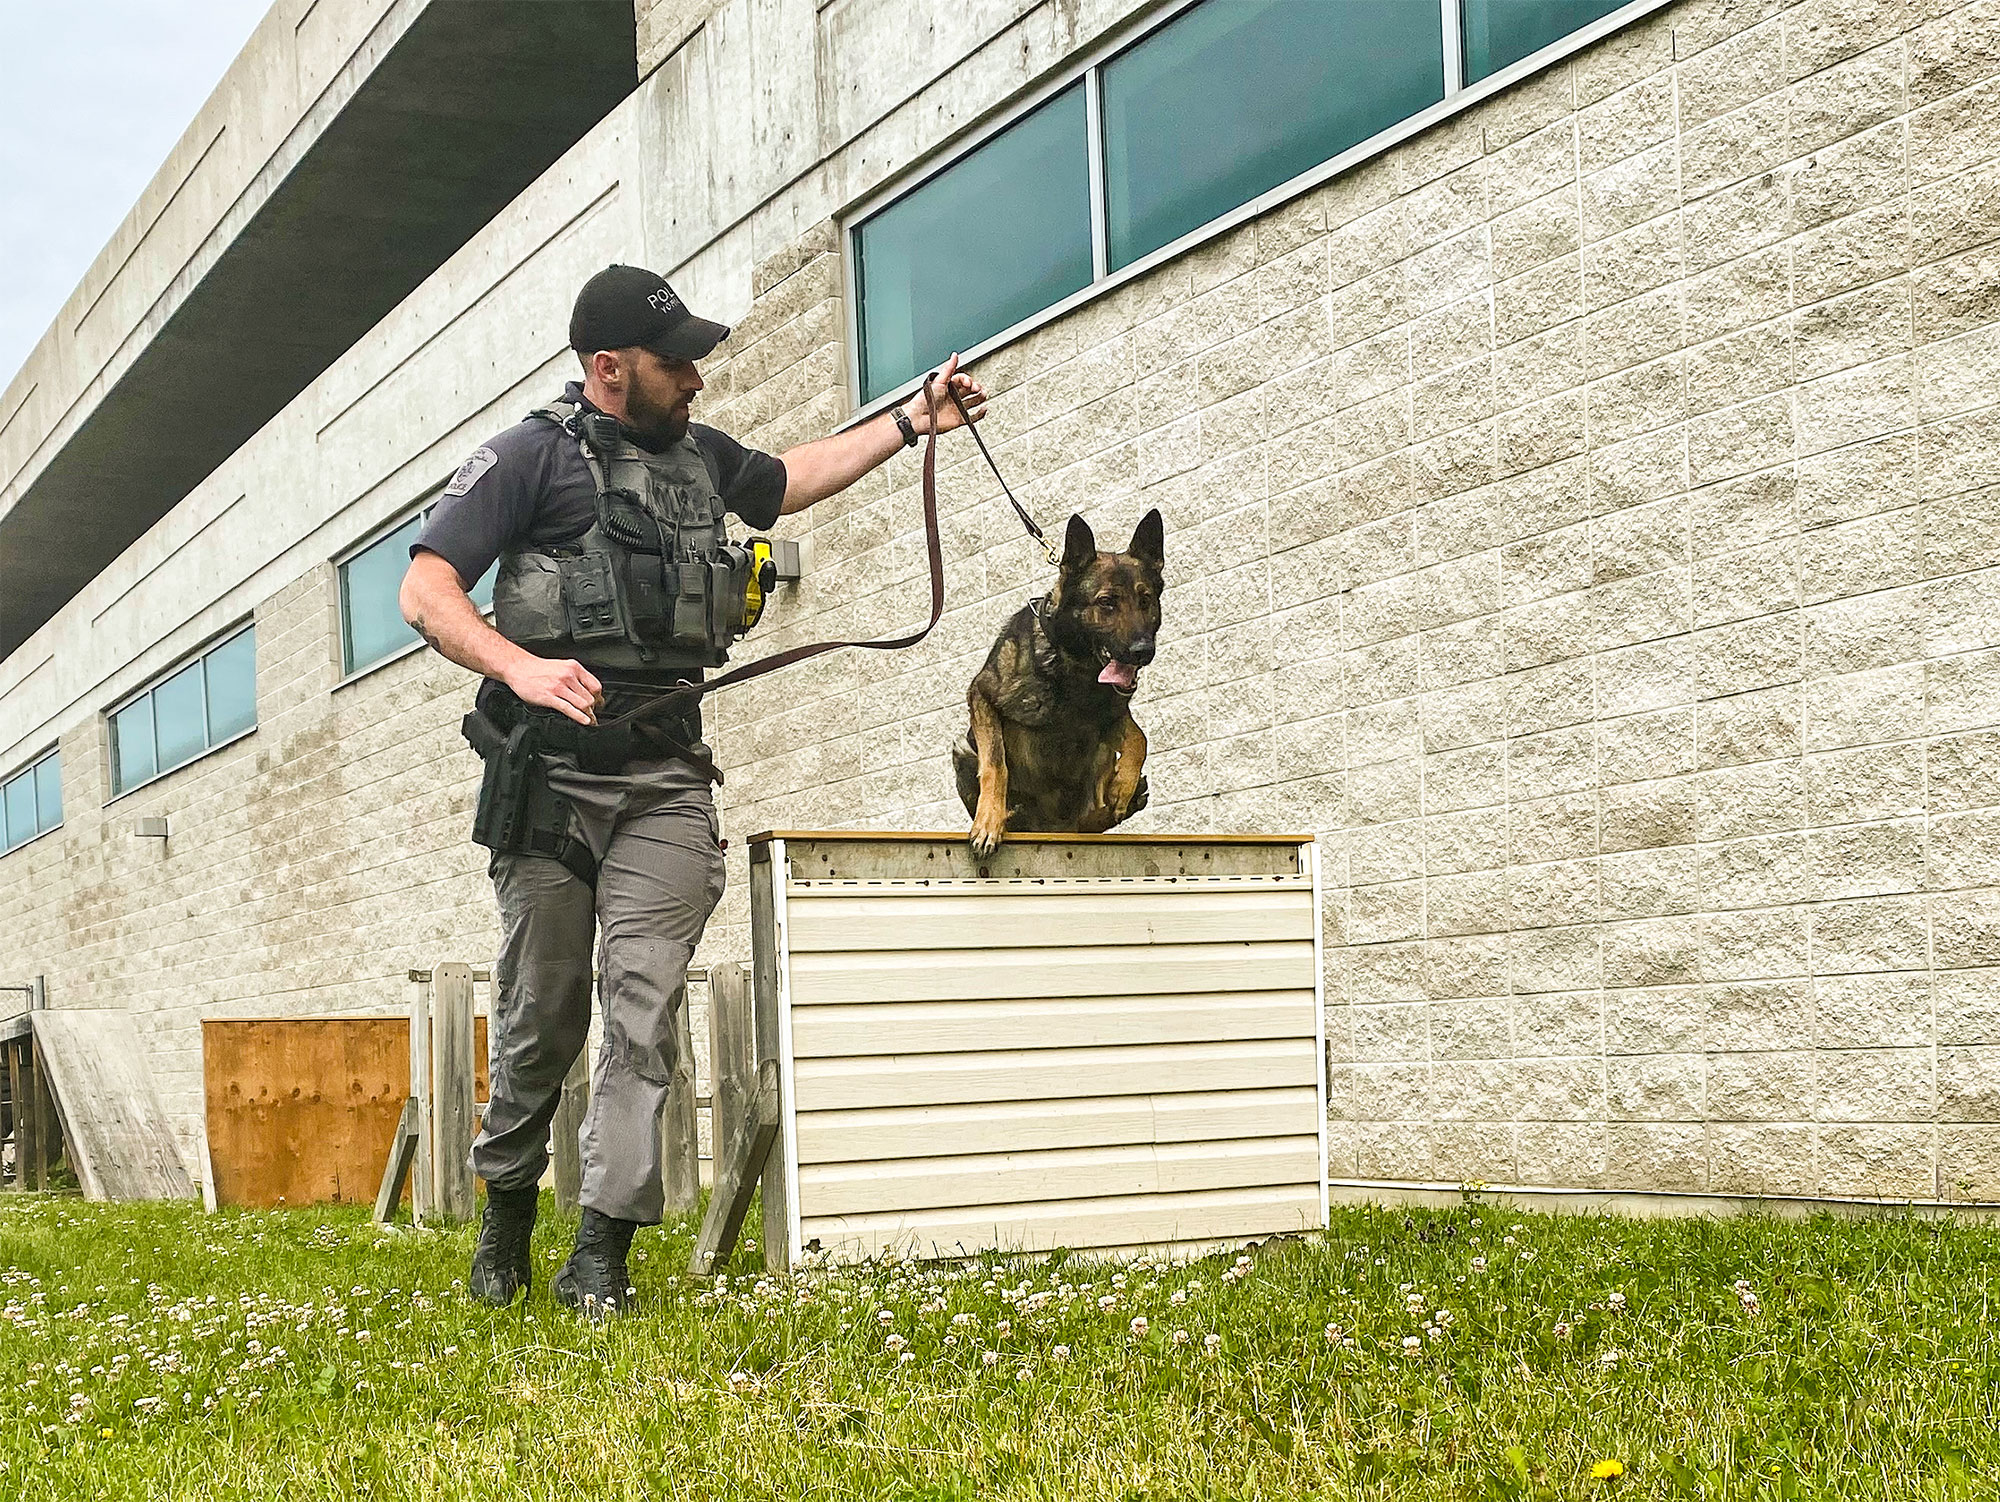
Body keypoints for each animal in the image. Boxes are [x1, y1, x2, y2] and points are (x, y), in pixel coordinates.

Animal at [956, 508, 1168, 852]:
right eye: (1106, 602)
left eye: (1145, 600)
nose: (1143, 651)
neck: (1074, 664)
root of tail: (1052, 826)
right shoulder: (982, 695)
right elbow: (995, 766)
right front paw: (988, 821)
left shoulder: (1109, 716)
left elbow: (1140, 738)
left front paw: (1123, 785)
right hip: (962, 748)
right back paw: (1009, 817)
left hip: (1098, 759)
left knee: (1087, 821)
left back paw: (1119, 804)